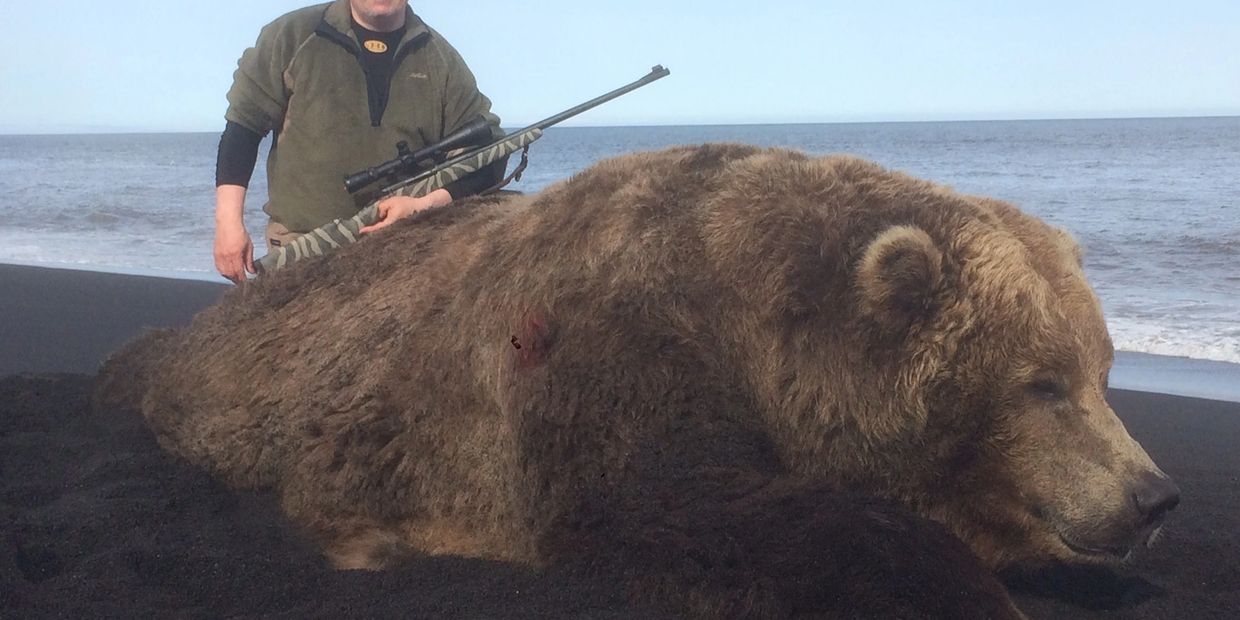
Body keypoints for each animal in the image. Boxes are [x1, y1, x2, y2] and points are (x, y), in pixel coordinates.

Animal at [96, 142, 1170, 617]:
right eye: (1041, 382)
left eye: (1102, 371)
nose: (1153, 497)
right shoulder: (612, 344)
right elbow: (686, 509)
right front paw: (956, 584)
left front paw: (1080, 565)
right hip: (236, 381)